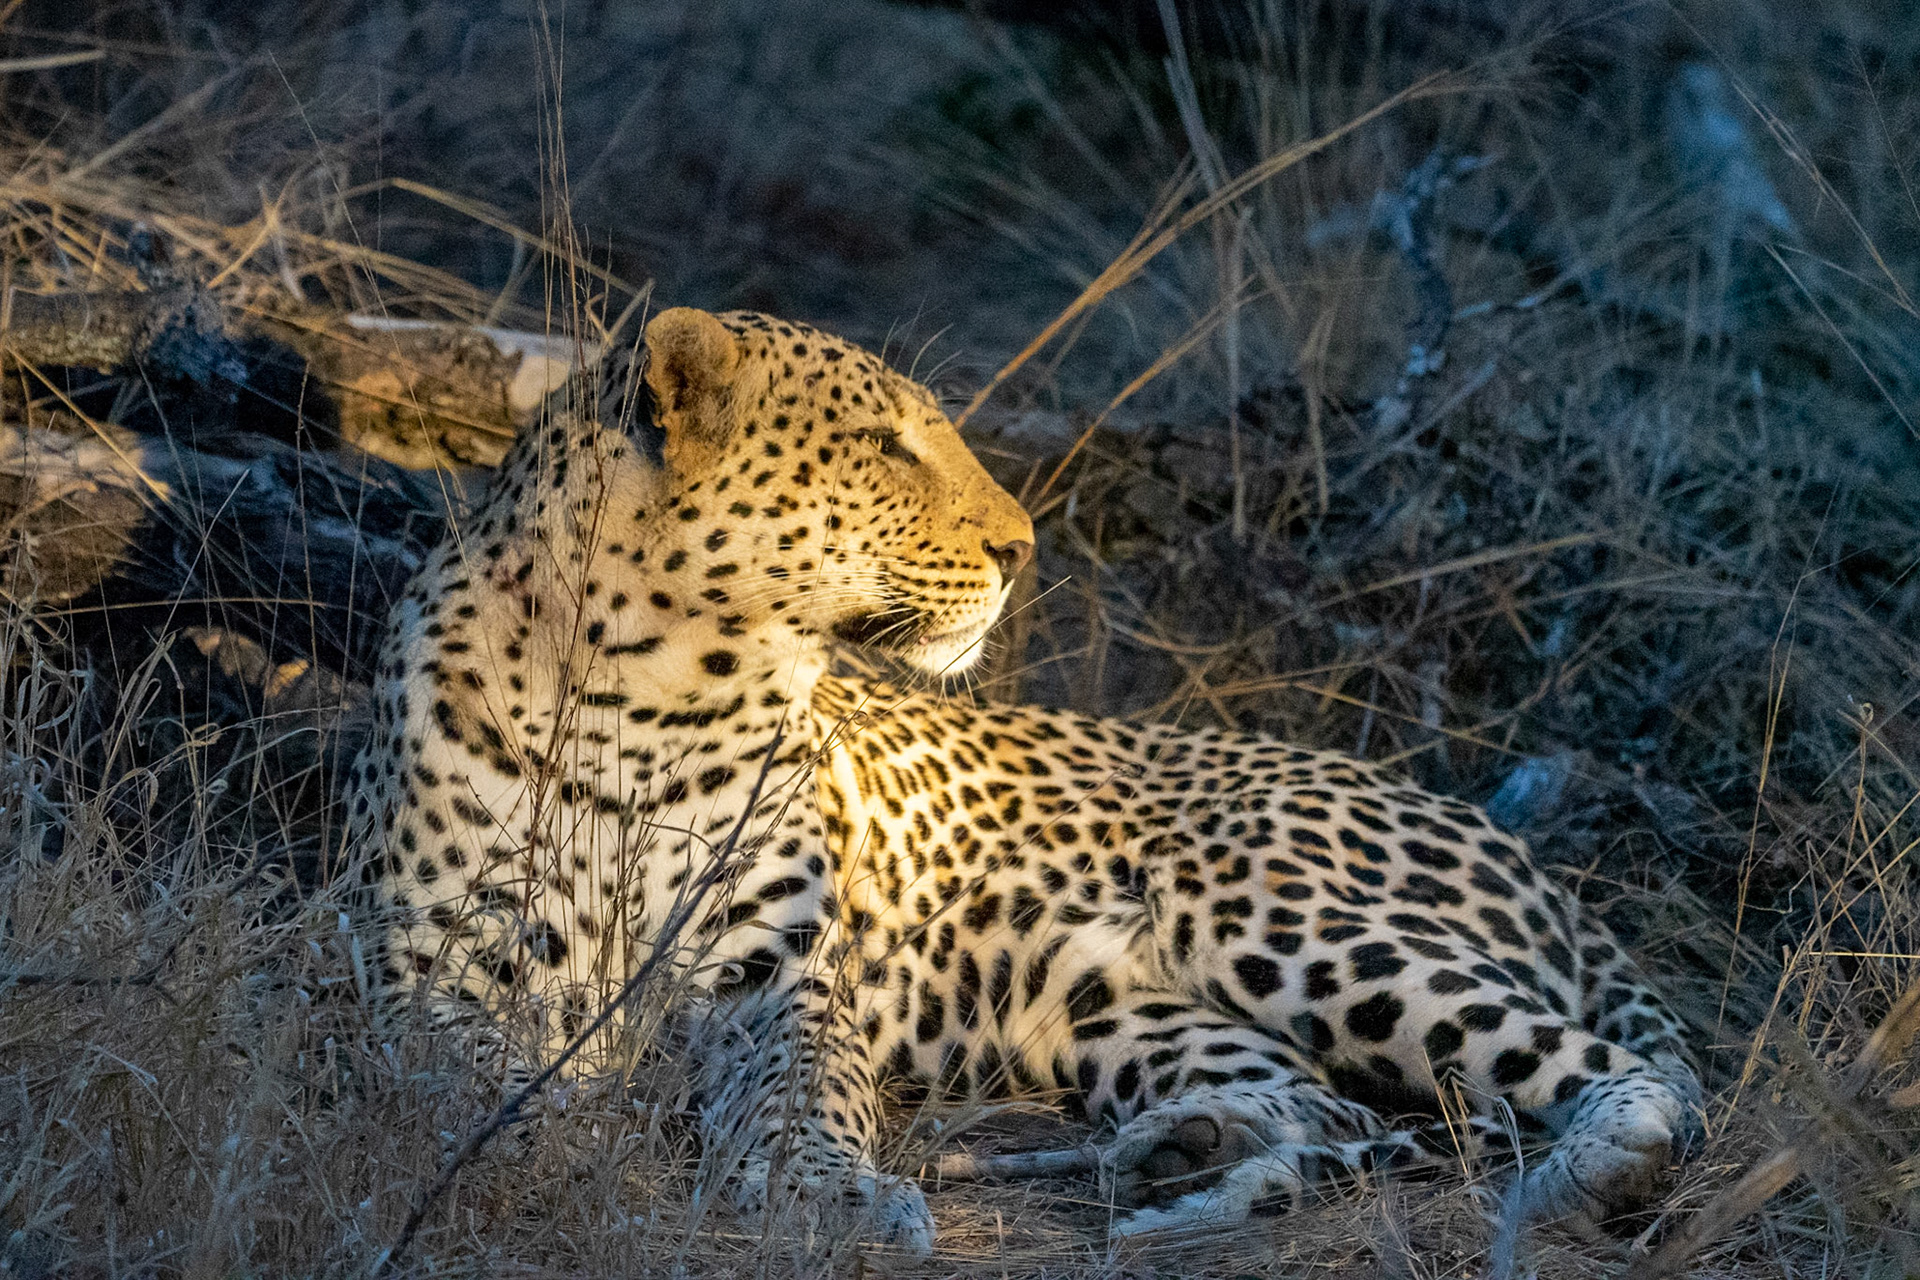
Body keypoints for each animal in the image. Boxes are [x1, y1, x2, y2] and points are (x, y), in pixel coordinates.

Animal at [344, 304, 1703, 1252]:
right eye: (884, 445)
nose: (1021, 546)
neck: (652, 696)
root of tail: (1522, 851)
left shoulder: (779, 974)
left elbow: (803, 1091)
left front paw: (825, 1192)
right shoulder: (422, 968)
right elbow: (459, 1090)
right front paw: (543, 1143)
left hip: (1270, 907)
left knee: (1633, 1081)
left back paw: (1567, 1180)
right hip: (1120, 1013)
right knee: (1347, 1111)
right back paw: (1180, 1155)